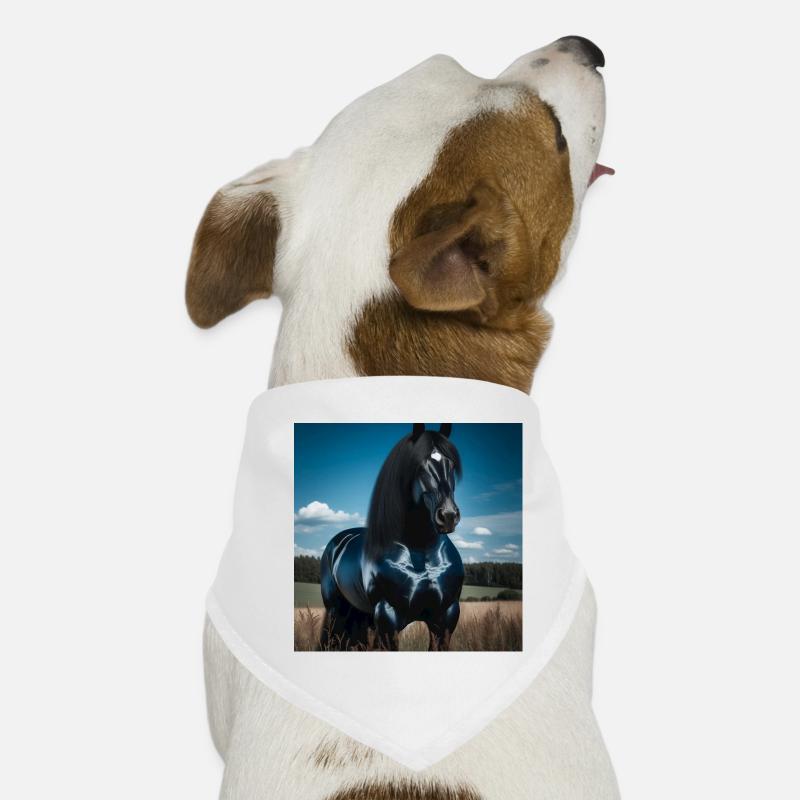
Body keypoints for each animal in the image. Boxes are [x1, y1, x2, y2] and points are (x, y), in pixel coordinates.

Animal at [319, 423, 465, 651]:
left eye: (451, 464)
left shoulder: (446, 618)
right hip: (337, 612)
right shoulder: (388, 617)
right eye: (417, 464)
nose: (448, 515)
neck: (421, 551)